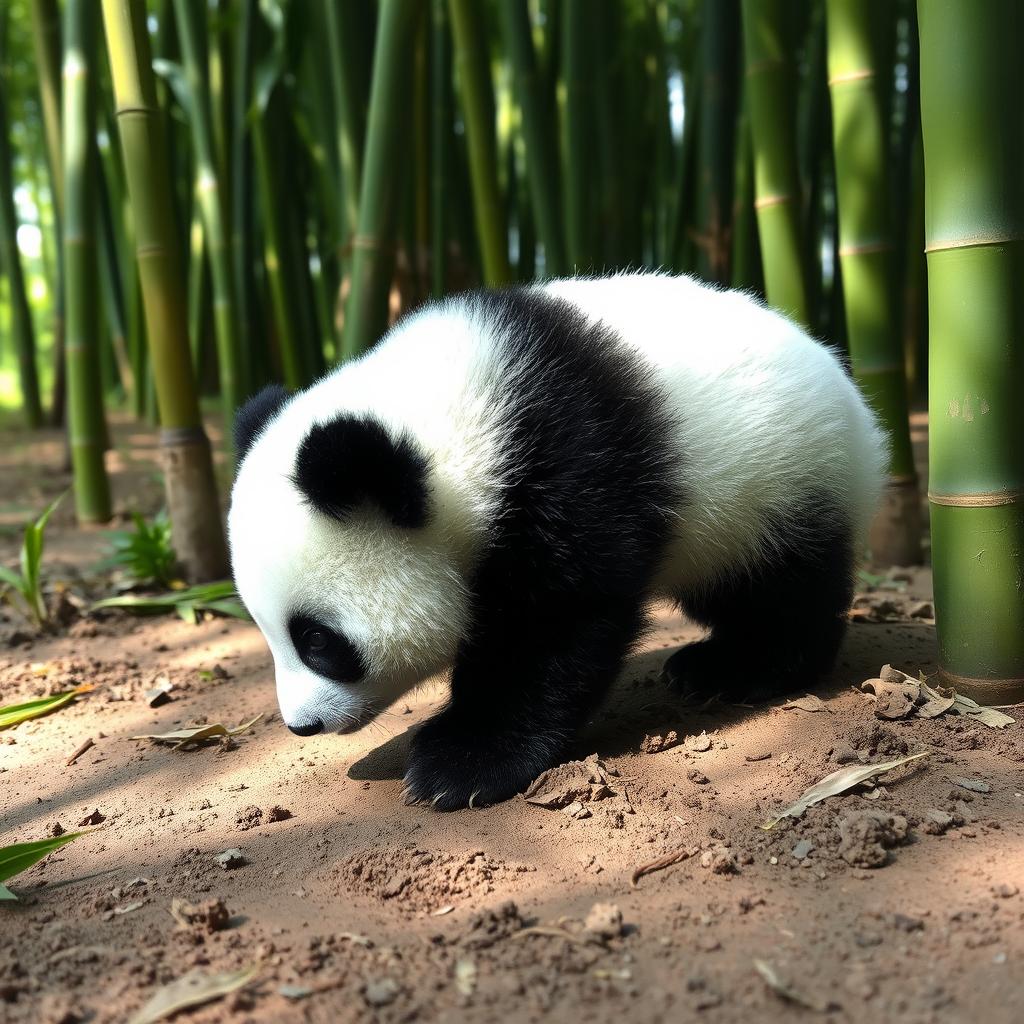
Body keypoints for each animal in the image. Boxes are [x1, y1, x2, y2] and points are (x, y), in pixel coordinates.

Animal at [228, 270, 884, 806]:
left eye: (317, 640)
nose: (301, 726)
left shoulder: (572, 470)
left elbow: (558, 621)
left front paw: (461, 763)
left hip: (781, 481)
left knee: (782, 589)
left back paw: (744, 667)